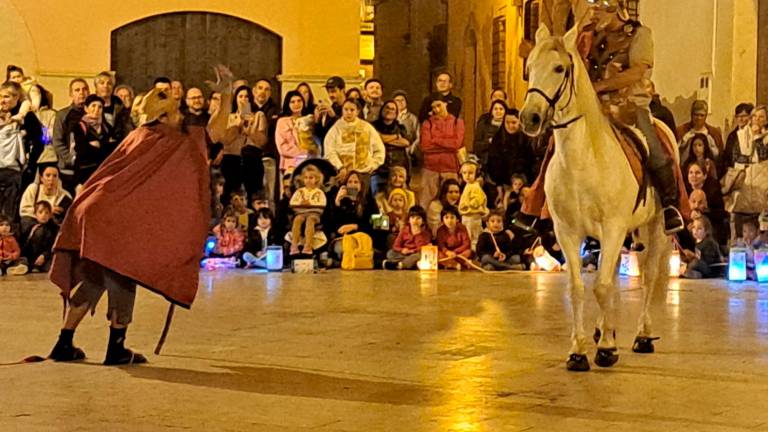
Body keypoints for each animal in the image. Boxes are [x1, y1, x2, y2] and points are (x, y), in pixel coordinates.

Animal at [520, 25, 676, 372]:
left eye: (559, 68)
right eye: (529, 69)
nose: (529, 118)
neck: (584, 158)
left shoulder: (614, 227)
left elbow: (602, 287)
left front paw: (605, 349)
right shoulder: (568, 232)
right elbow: (579, 289)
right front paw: (579, 350)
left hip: (655, 230)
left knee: (649, 277)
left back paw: (642, 336)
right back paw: (607, 330)